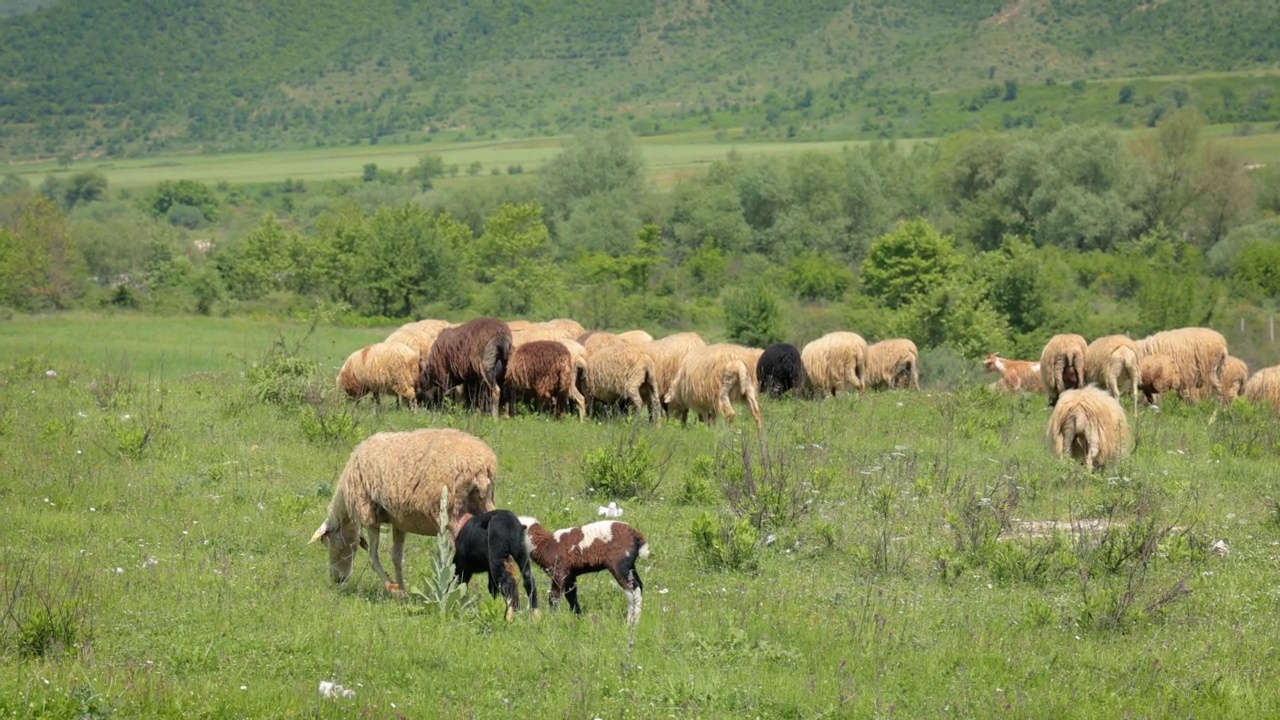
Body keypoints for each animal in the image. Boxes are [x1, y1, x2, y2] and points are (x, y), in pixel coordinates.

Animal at [309, 427, 499, 591]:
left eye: (328, 543)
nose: (337, 579)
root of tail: (480, 465)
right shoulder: (399, 522)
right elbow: (396, 557)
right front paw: (402, 591)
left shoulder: (368, 514)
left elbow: (373, 557)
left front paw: (393, 588)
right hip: (484, 506)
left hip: (451, 513)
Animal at [517, 515, 650, 622]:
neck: (546, 545)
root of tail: (635, 534)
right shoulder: (570, 574)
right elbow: (571, 595)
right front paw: (578, 618)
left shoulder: (559, 571)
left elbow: (554, 596)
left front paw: (551, 619)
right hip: (630, 565)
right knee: (639, 585)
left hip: (619, 563)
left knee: (632, 589)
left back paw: (630, 621)